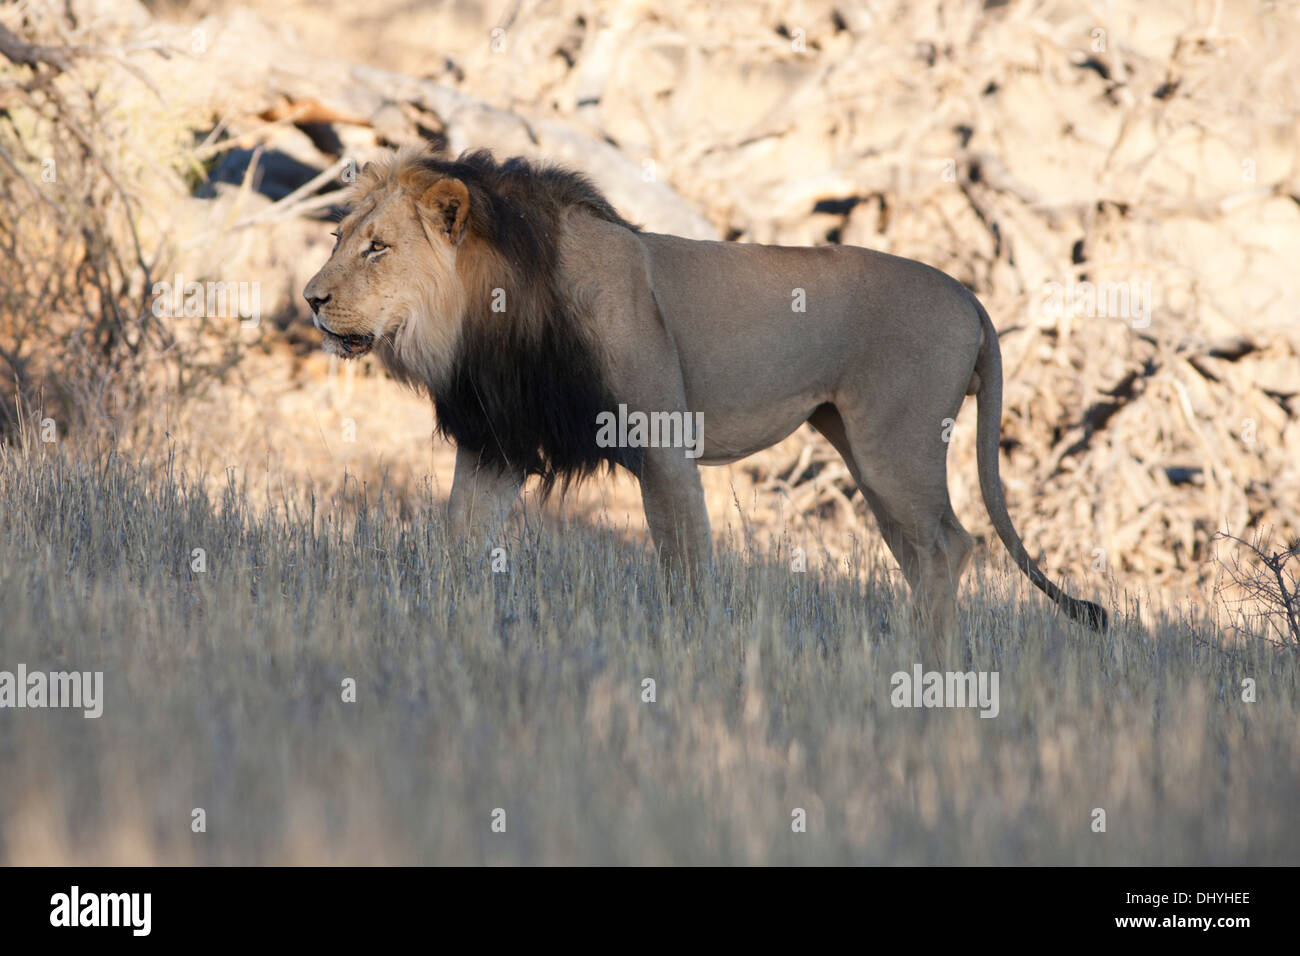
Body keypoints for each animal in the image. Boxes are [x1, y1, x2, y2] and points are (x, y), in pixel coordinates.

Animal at [304, 145, 1107, 650]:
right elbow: (458, 543)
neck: (482, 315)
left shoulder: (662, 443)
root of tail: (971, 298)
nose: (310, 299)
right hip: (866, 453)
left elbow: (686, 565)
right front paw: (440, 621)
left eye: (378, 248)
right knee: (925, 554)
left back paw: (926, 665)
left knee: (951, 544)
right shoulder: (497, 443)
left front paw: (689, 650)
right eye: (340, 237)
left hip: (894, 446)